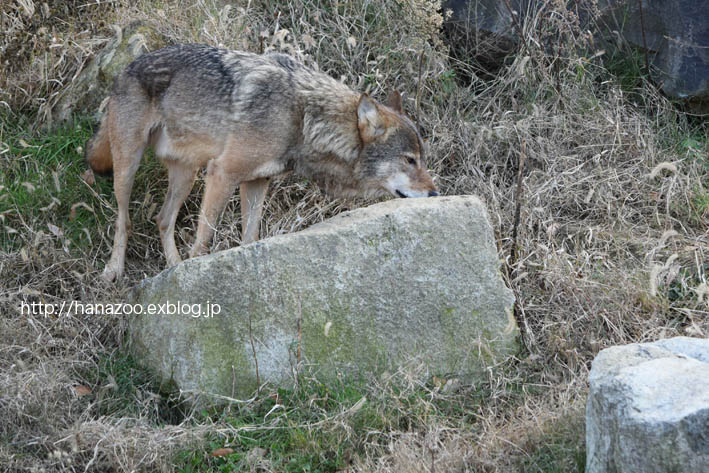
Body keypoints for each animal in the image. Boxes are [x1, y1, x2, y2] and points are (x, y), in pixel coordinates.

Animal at [83, 44, 436, 280]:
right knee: (124, 220)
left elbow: (249, 239)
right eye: (410, 160)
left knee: (162, 219)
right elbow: (204, 240)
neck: (303, 118)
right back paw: (114, 270)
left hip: (187, 175)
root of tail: (125, 69)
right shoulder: (223, 173)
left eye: (422, 159)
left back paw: (172, 269)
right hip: (129, 166)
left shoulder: (256, 182)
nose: (434, 194)